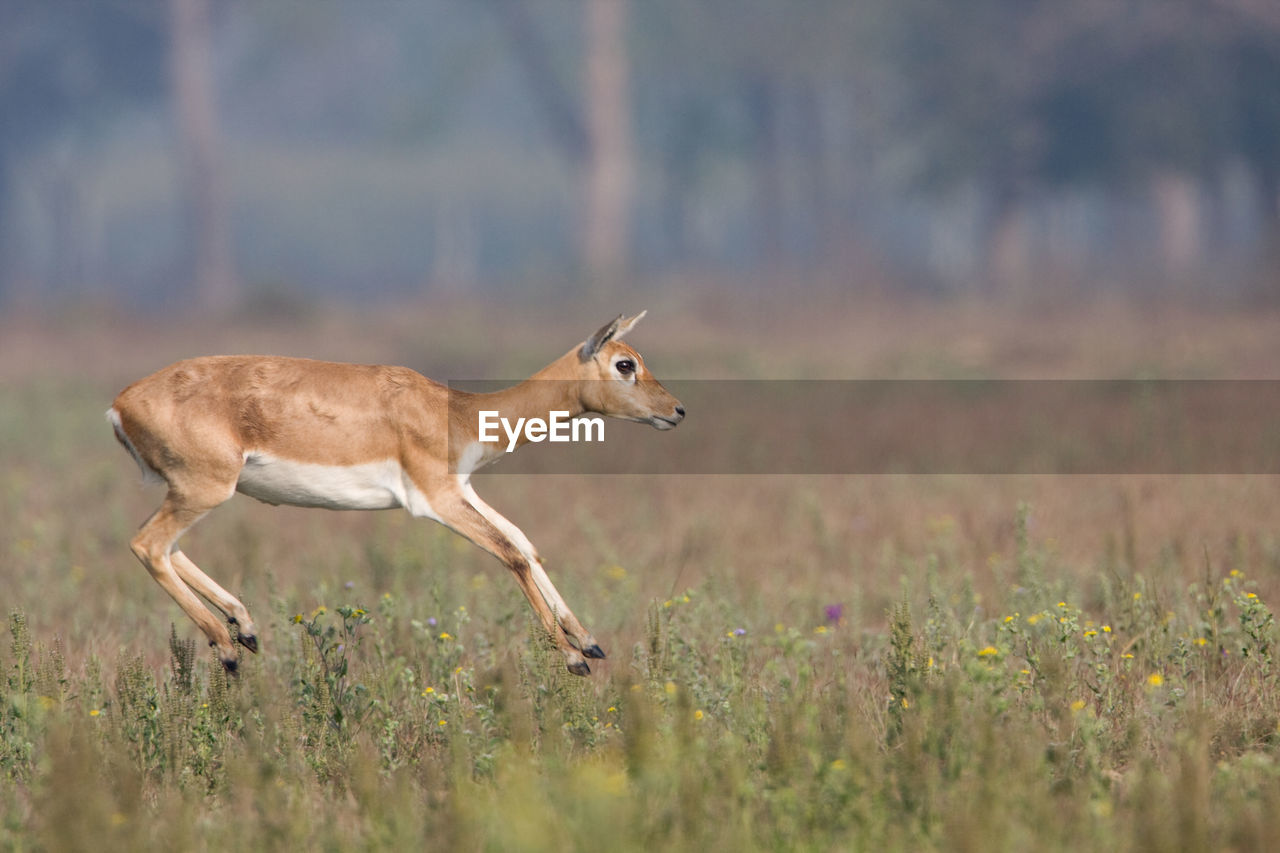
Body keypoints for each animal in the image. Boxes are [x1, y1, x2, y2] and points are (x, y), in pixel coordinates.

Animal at [110, 308, 686, 676]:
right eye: (625, 363)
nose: (677, 410)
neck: (460, 412)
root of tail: (120, 403)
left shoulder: (463, 489)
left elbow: (526, 543)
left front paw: (589, 643)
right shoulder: (436, 501)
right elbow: (510, 554)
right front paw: (571, 658)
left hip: (193, 493)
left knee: (166, 547)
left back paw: (245, 628)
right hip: (204, 490)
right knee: (147, 545)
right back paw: (227, 648)